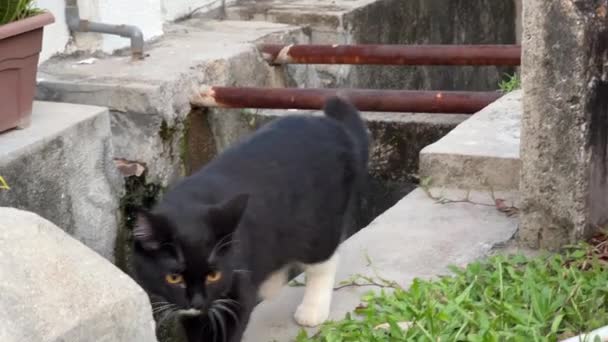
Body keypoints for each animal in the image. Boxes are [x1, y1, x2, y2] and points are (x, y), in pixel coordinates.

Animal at [131, 96, 368, 342]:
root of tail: (335, 128)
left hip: (320, 224)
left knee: (323, 261)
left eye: (214, 275)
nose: (197, 302)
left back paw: (312, 309)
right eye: (174, 278)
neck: (189, 205)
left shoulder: (237, 285)